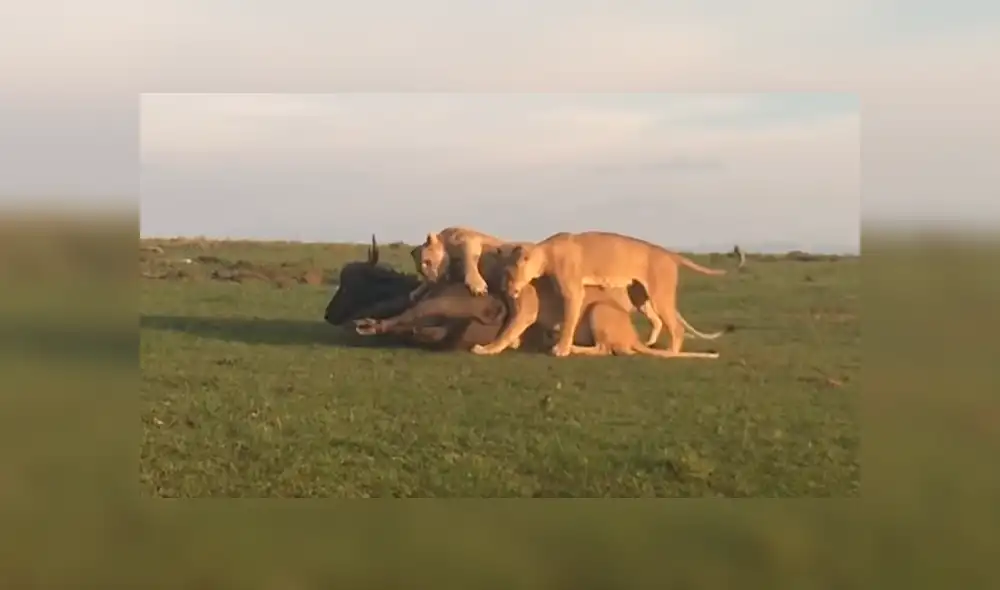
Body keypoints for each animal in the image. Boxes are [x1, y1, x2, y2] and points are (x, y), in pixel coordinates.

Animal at [495, 231, 740, 358]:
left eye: (509, 273)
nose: (507, 290)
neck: (546, 253)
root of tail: (669, 253)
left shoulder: (574, 291)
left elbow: (570, 319)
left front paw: (561, 348)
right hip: (639, 295)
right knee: (657, 321)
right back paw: (650, 343)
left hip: (660, 294)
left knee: (676, 327)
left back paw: (670, 352)